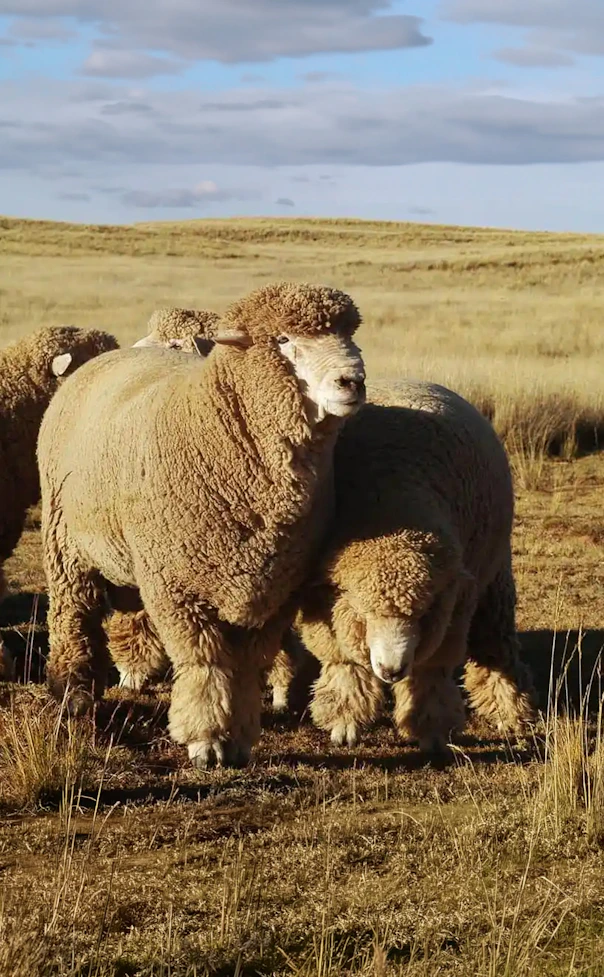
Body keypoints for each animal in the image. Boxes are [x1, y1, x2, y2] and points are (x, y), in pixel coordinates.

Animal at [37, 282, 366, 768]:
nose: (352, 381)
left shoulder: (271, 593)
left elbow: (246, 668)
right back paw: (73, 692)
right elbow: (204, 663)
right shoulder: (177, 588)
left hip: (135, 552)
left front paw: (240, 737)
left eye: (348, 336)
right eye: (283, 339)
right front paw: (206, 741)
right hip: (65, 542)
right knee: (71, 612)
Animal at [290, 381, 536, 753]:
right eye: (364, 615)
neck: (392, 506)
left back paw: (511, 713)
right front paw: (345, 722)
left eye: (421, 615)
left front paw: (431, 729)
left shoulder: (451, 601)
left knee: (496, 646)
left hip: (493, 580)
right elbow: (345, 661)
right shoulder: (328, 602)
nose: (391, 670)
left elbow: (430, 671)